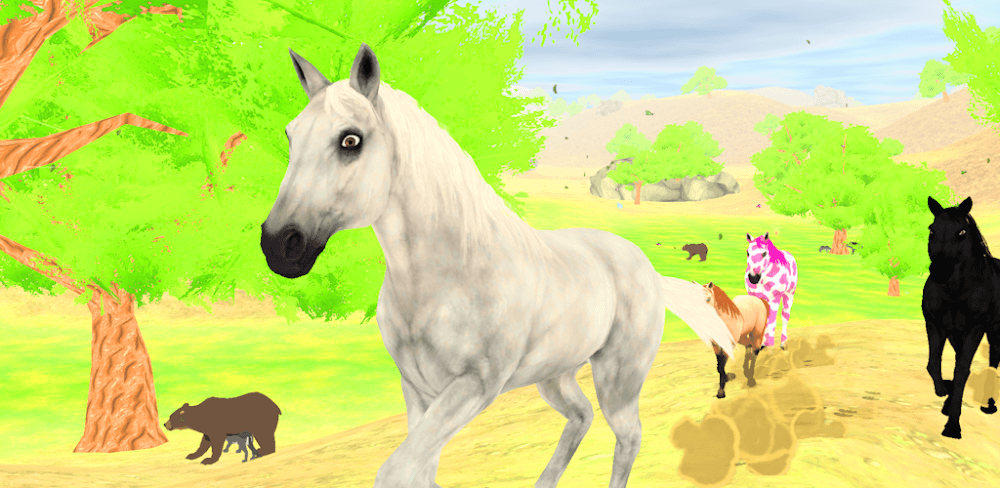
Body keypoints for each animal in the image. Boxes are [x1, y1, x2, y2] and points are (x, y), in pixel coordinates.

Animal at [259, 43, 736, 488]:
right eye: (290, 136)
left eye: (351, 140)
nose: (278, 245)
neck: (449, 275)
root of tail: (646, 268)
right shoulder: (418, 390)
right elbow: (421, 473)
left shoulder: (474, 387)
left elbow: (397, 471)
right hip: (555, 375)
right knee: (581, 416)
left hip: (618, 380)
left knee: (628, 436)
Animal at [923, 196, 1000, 439]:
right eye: (932, 229)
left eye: (962, 232)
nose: (938, 272)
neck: (955, 291)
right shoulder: (937, 326)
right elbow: (934, 365)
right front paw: (944, 395)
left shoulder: (975, 328)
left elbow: (962, 370)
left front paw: (952, 426)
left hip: (993, 329)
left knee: (994, 359)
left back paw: (989, 404)